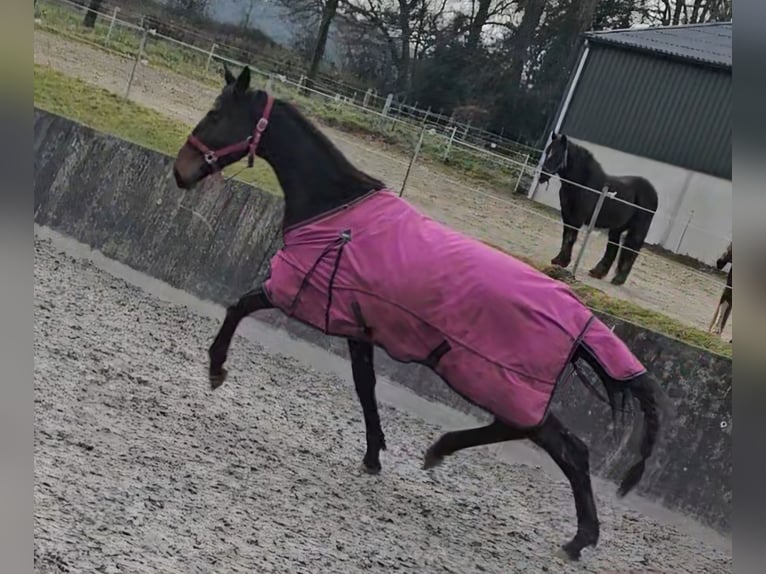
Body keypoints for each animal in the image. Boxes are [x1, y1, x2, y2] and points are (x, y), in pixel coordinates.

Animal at [540, 135, 660, 288]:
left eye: (557, 154)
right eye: (547, 151)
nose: (543, 175)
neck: (583, 184)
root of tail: (653, 191)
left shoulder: (576, 218)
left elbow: (570, 238)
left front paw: (562, 261)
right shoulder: (567, 215)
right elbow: (565, 236)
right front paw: (558, 260)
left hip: (637, 230)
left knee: (632, 250)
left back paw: (618, 279)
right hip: (616, 229)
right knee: (613, 248)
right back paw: (598, 272)